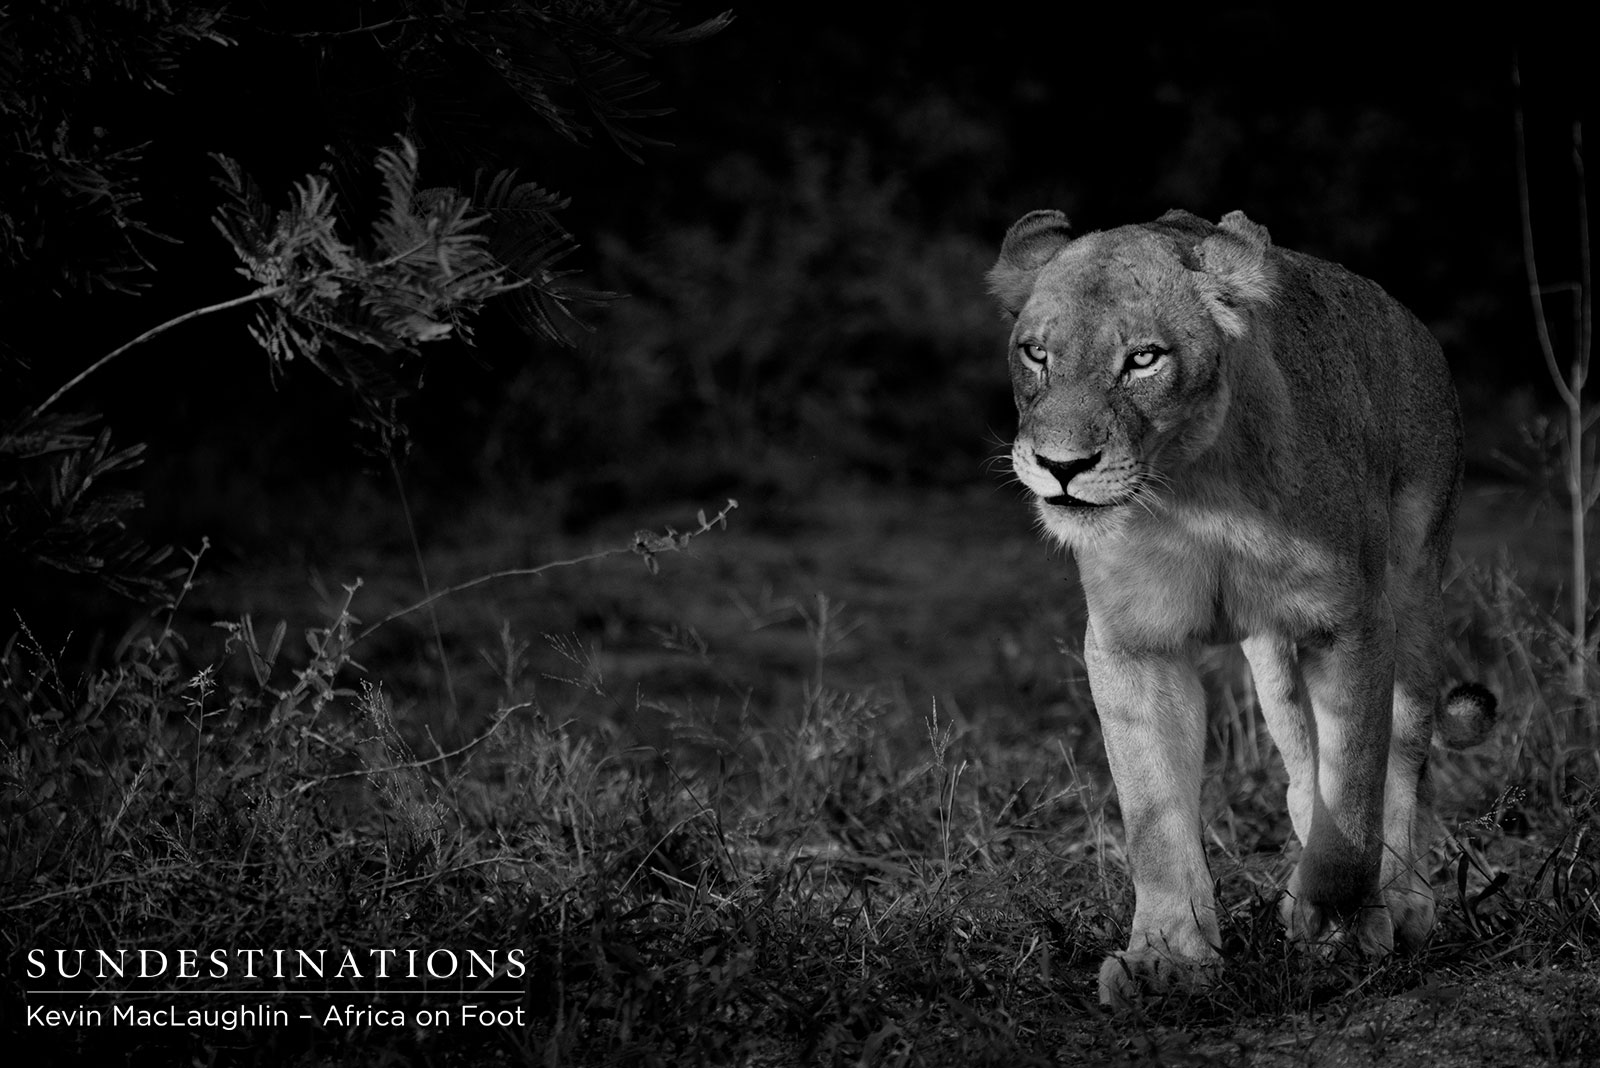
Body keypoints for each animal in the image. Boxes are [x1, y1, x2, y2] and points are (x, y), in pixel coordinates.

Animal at [987, 208, 1496, 1006]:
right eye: (1036, 353)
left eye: (1143, 359)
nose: (1061, 468)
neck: (1194, 488)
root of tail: (1410, 321)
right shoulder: (1134, 642)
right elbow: (1154, 815)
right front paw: (1167, 958)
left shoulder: (1350, 624)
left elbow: (1356, 792)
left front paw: (1342, 934)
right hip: (1274, 660)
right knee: (1302, 767)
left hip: (1417, 586)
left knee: (1402, 758)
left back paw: (1402, 902)